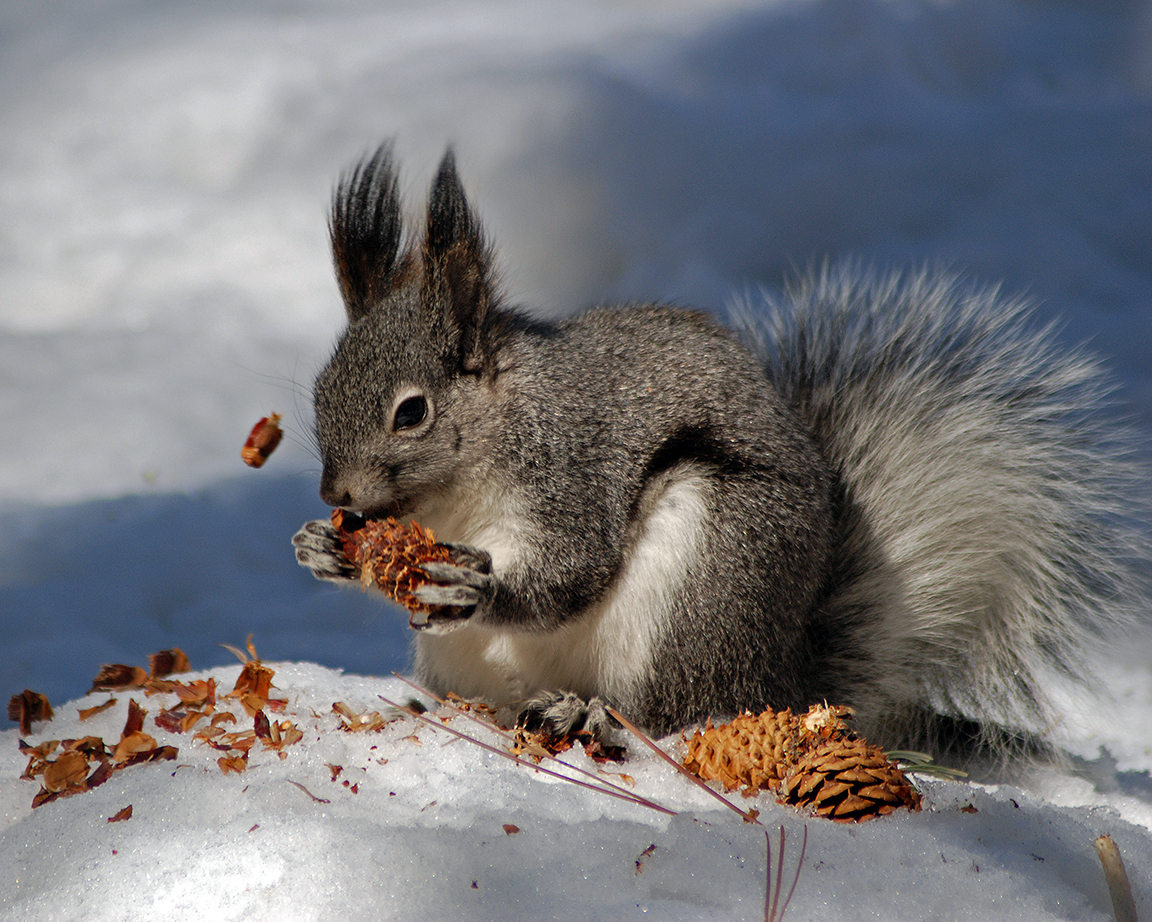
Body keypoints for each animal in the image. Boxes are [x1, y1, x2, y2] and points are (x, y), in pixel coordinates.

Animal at [294, 144, 1142, 765]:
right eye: (320, 389)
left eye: (412, 412)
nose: (337, 495)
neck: (456, 499)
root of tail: (785, 679)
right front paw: (321, 552)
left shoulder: (570, 470)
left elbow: (570, 571)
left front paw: (472, 586)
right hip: (474, 662)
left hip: (702, 581)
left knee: (674, 713)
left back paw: (592, 716)